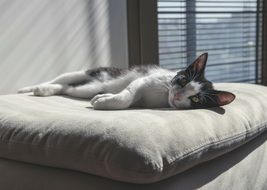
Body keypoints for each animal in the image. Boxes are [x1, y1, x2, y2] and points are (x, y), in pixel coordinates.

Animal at [18, 52, 237, 110]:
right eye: (182, 81)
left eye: (196, 99)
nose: (177, 95)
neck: (163, 96)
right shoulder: (144, 79)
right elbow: (128, 94)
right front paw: (105, 101)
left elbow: (127, 99)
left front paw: (103, 99)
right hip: (93, 72)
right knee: (64, 78)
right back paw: (31, 88)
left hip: (87, 88)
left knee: (67, 87)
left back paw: (44, 90)